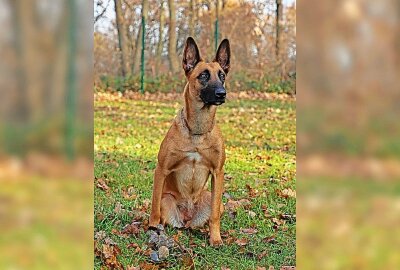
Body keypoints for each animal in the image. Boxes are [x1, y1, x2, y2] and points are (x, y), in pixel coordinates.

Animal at [149, 37, 231, 246]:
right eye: (203, 75)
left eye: (222, 76)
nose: (222, 93)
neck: (197, 132)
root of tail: (187, 218)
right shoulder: (161, 169)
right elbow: (153, 206)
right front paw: (151, 227)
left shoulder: (218, 172)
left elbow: (214, 216)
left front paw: (215, 238)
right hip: (167, 199)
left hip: (213, 199)